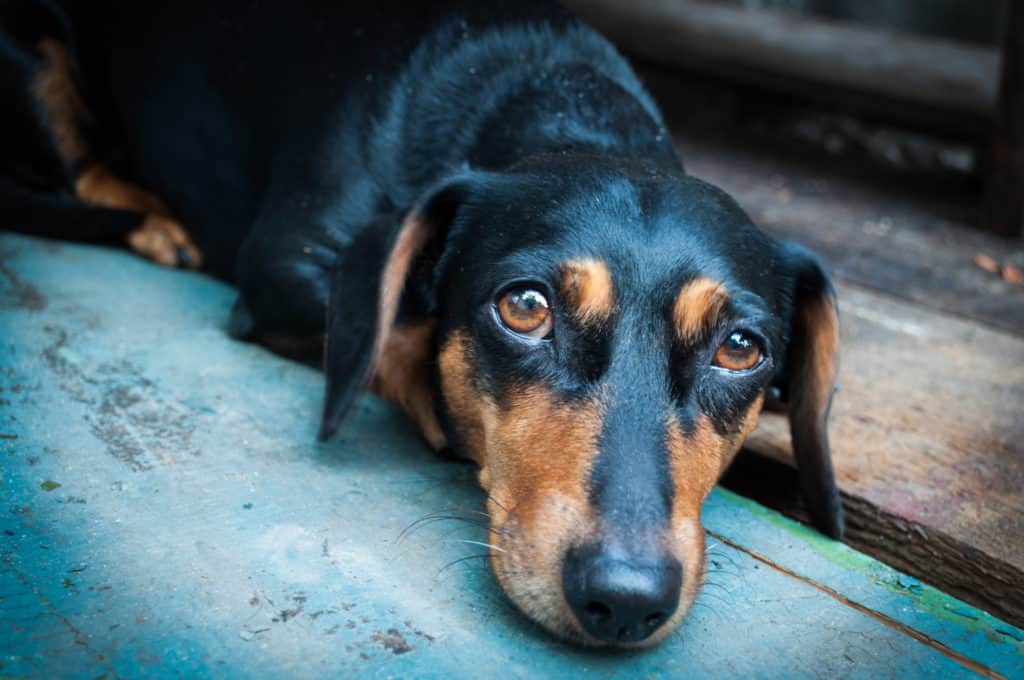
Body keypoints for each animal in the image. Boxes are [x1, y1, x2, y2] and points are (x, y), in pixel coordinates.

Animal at [0, 0, 839, 647]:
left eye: (741, 349)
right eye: (525, 307)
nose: (626, 599)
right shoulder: (282, 265)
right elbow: (397, 338)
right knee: (82, 172)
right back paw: (152, 219)